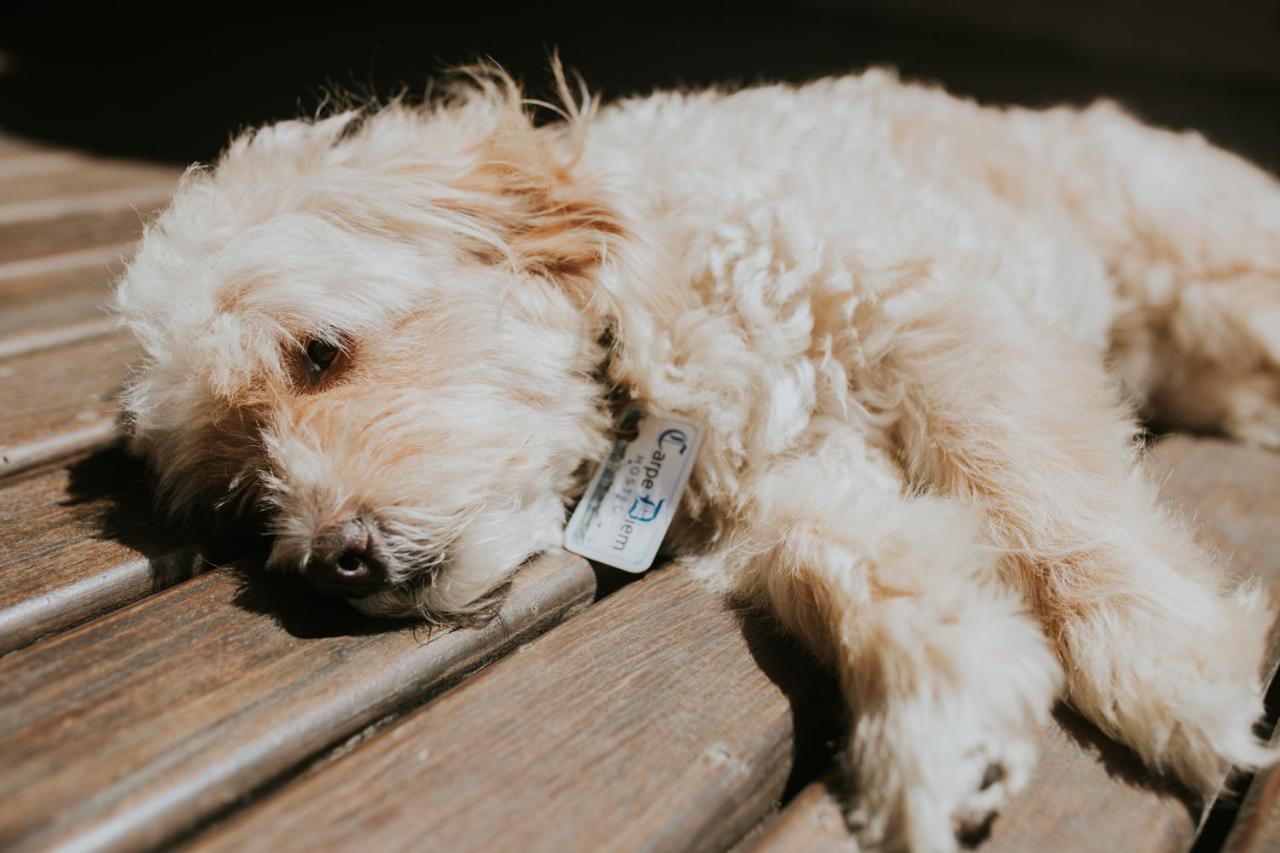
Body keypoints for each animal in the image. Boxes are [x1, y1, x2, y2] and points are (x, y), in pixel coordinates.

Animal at [112, 68, 1280, 850]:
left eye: (317, 354)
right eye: (240, 489)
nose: (329, 563)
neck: (655, 315)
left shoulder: (943, 318)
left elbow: (1040, 489)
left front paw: (1168, 654)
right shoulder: (787, 486)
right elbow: (862, 564)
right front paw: (939, 712)